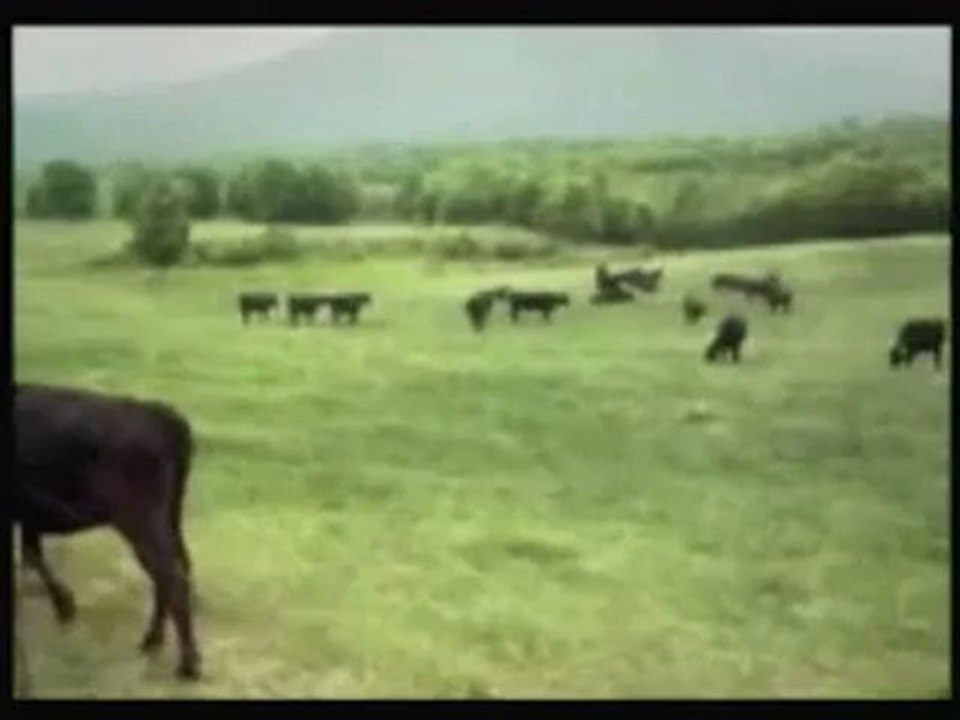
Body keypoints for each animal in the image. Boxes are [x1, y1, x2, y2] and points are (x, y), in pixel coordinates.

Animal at [14, 383, 202, 680]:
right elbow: (32, 555)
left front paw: (65, 604)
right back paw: (152, 639)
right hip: (169, 518)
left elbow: (32, 557)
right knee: (176, 567)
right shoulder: (28, 516)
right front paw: (64, 605)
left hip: (140, 520)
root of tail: (160, 413)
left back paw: (187, 665)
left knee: (171, 577)